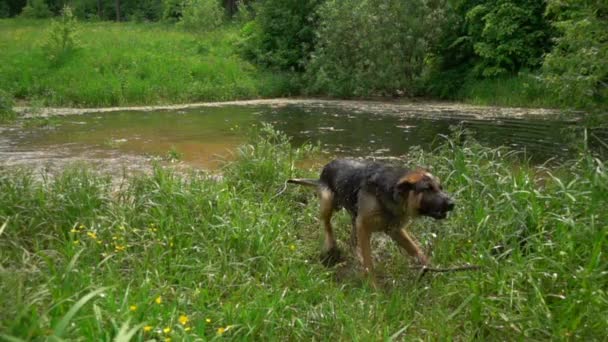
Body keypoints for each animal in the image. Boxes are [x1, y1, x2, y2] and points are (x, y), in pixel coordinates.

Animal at [288, 159, 454, 284]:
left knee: (352, 242)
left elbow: (416, 250)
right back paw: (331, 246)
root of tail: (327, 166)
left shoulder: (395, 230)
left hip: (353, 218)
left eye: (440, 188)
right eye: (427, 188)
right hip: (329, 201)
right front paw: (373, 287)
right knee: (327, 224)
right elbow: (369, 263)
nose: (452, 203)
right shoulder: (364, 227)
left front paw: (434, 271)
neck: (392, 192)